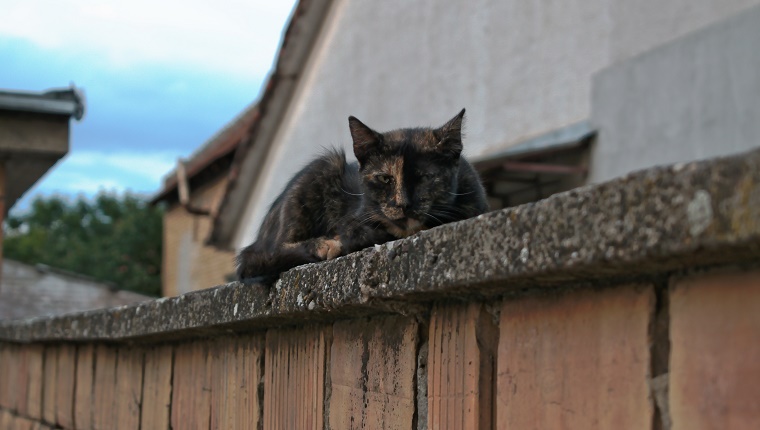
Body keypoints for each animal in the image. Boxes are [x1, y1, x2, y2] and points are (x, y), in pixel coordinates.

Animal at [235, 108, 490, 282]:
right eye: (385, 179)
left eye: (425, 177)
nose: (403, 204)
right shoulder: (352, 219)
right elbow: (358, 233)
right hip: (322, 167)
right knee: (263, 255)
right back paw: (325, 244)